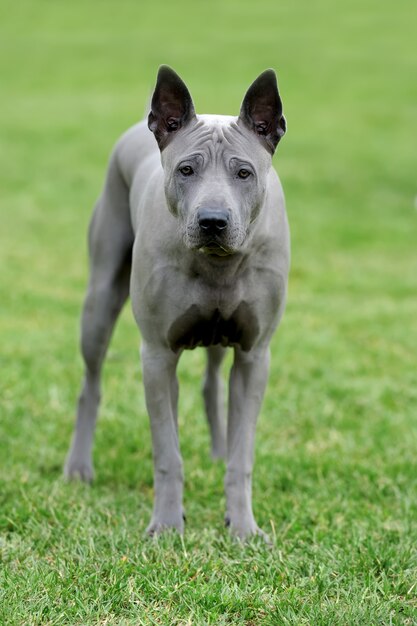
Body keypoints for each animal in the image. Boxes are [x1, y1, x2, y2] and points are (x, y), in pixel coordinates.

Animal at [64, 66, 290, 540]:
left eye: (244, 173)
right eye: (186, 169)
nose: (212, 221)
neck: (217, 264)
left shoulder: (255, 356)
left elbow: (243, 455)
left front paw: (243, 528)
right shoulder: (156, 356)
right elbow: (167, 452)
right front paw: (167, 525)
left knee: (211, 384)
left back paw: (218, 450)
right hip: (99, 304)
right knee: (91, 384)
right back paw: (78, 467)